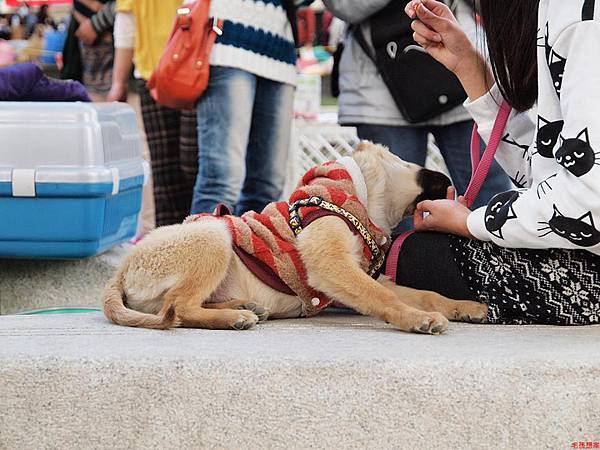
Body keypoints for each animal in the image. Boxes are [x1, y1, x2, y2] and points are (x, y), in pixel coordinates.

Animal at [104, 141, 488, 334]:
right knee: (178, 308)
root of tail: (121, 270)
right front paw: (417, 319)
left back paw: (244, 307)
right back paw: (233, 318)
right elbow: (383, 297)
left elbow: (423, 293)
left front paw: (465, 307)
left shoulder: (363, 274)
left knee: (179, 306)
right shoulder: (332, 267)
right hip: (213, 238)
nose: (454, 185)